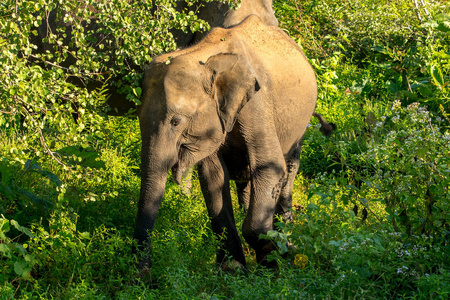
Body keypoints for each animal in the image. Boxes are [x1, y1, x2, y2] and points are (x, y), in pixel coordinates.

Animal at [134, 14, 320, 270]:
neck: (205, 56)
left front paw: (279, 256)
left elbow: (270, 167)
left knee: (289, 167)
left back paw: (287, 233)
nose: (145, 276)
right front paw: (234, 271)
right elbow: (214, 176)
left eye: (175, 121)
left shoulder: (257, 102)